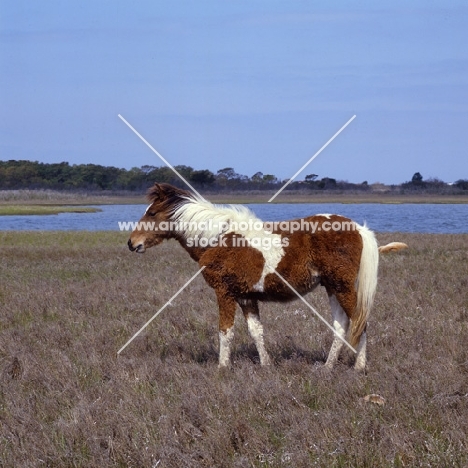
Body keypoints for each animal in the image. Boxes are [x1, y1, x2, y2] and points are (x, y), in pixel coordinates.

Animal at [128, 182, 380, 370]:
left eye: (152, 213)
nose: (132, 243)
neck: (218, 237)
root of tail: (358, 228)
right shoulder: (246, 297)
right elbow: (256, 332)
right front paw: (266, 364)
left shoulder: (225, 293)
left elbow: (225, 332)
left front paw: (223, 367)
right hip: (332, 288)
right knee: (341, 326)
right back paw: (327, 367)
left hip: (342, 287)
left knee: (359, 322)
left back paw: (359, 366)